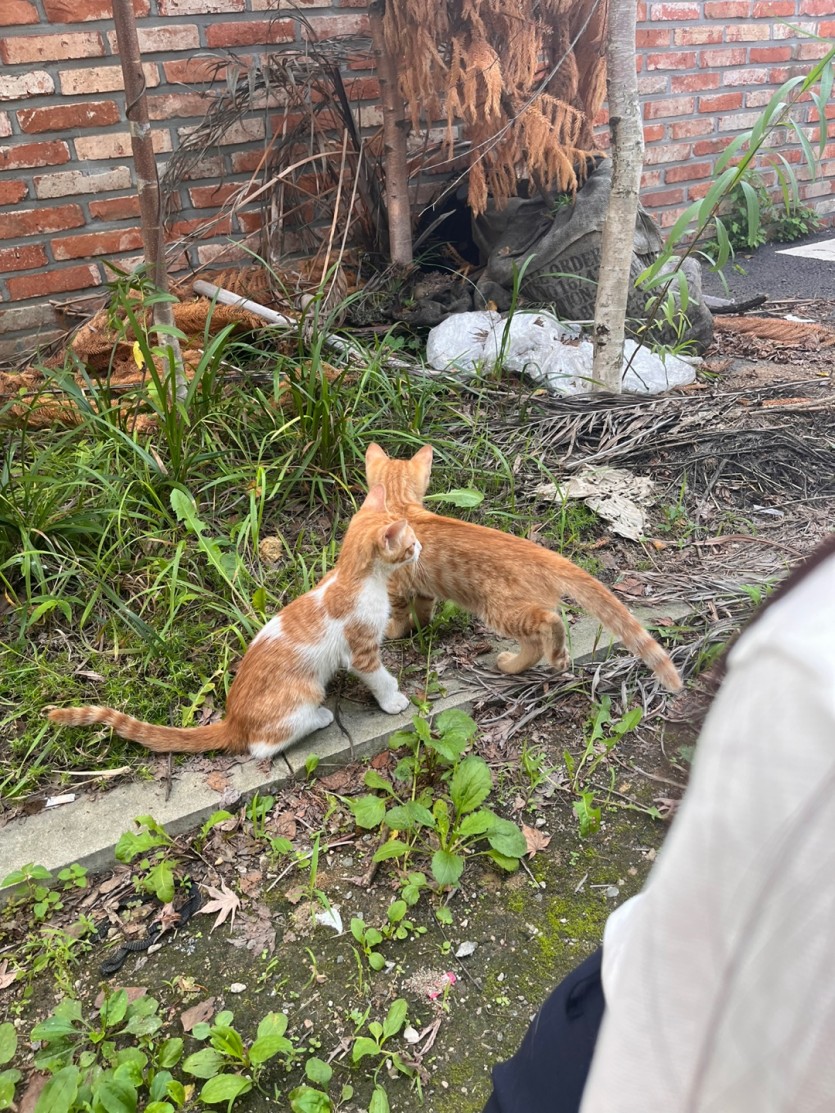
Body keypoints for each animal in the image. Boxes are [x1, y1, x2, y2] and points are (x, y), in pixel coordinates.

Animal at [47, 485, 420, 757]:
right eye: (410, 542)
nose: (418, 548)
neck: (355, 579)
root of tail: (232, 721)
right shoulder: (361, 650)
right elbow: (379, 676)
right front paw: (393, 700)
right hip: (305, 691)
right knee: (261, 747)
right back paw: (319, 717)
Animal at [365, 443, 682, 692]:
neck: (401, 506)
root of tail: (545, 553)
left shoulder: (395, 586)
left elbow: (399, 613)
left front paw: (395, 631)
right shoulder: (424, 589)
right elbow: (423, 610)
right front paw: (420, 627)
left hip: (500, 610)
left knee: (546, 626)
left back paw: (537, 658)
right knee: (536, 642)